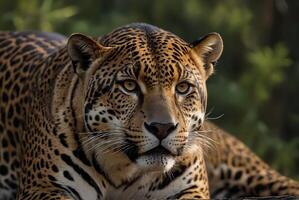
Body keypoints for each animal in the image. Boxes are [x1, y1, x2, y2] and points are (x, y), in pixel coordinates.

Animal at [0, 22, 298, 199]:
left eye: (182, 87)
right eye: (129, 86)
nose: (162, 128)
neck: (123, 172)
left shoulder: (191, 189)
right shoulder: (46, 187)